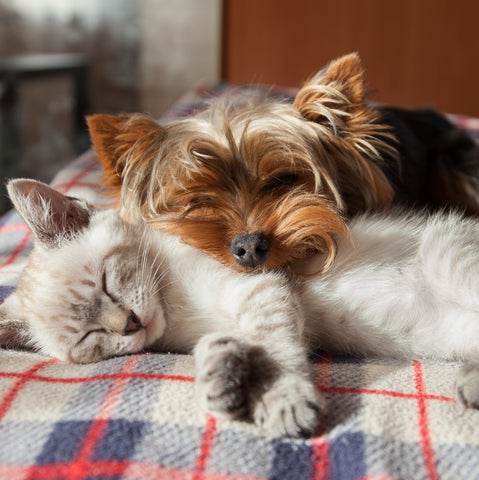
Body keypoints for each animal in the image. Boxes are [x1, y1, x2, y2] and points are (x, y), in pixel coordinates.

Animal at [0, 177, 479, 438]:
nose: (129, 324)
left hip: (452, 259)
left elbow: (277, 348)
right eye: (89, 338)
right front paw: (223, 381)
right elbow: (224, 347)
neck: (175, 307)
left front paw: (284, 398)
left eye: (106, 282)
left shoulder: (260, 285)